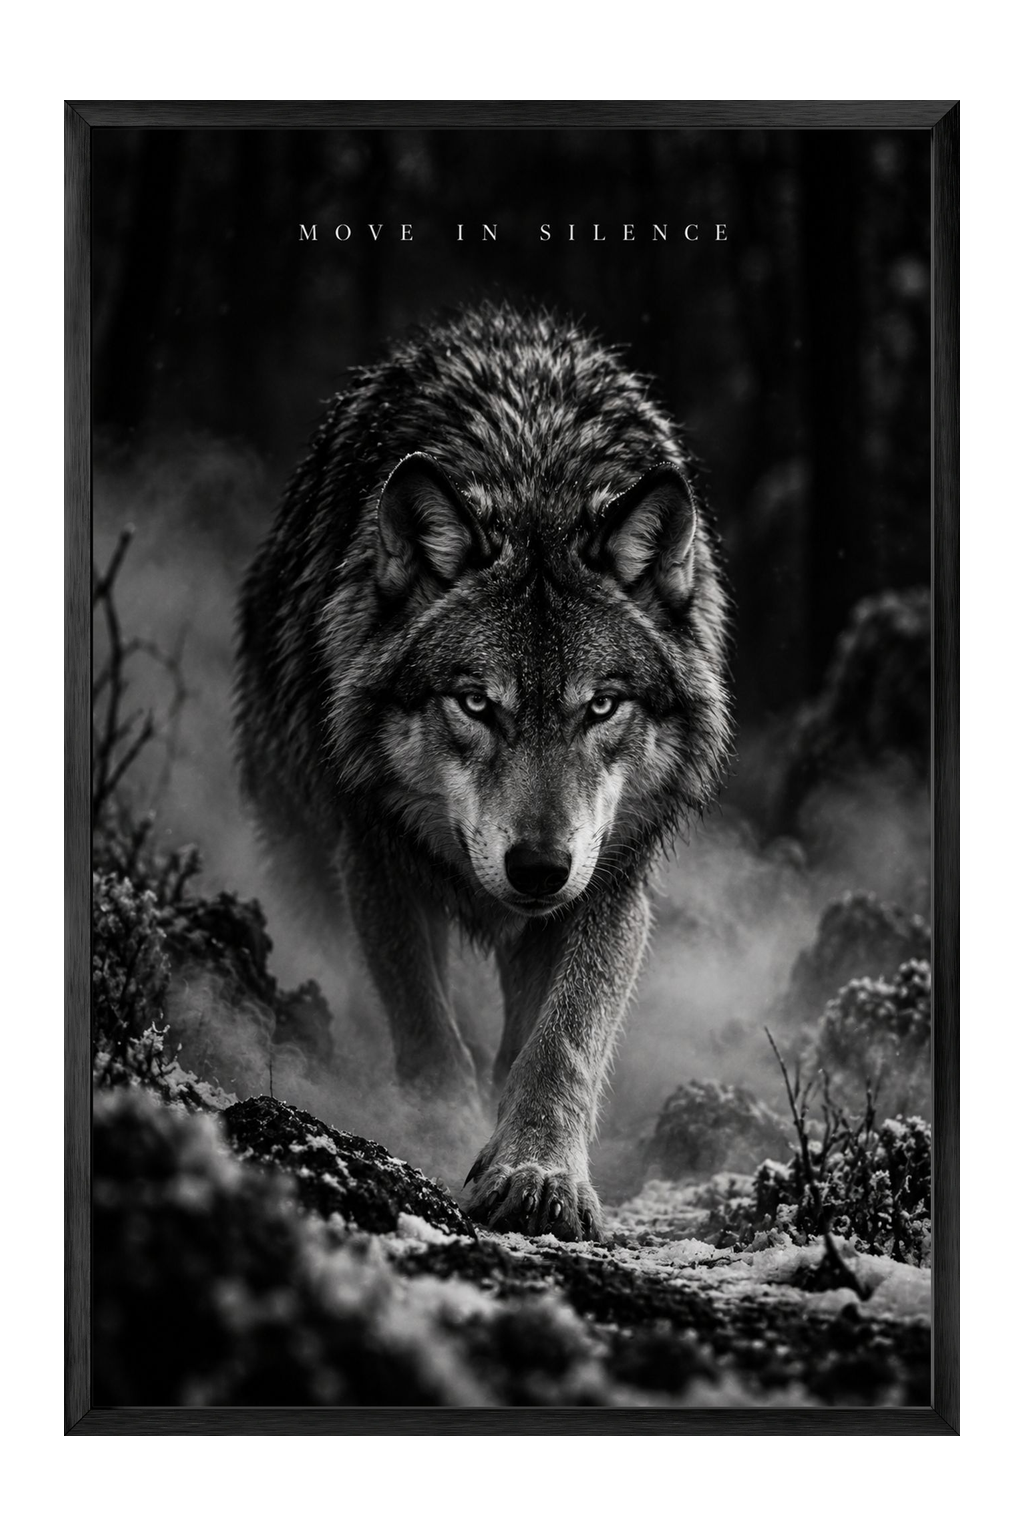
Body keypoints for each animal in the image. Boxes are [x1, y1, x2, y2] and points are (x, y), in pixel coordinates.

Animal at [235, 302, 731, 1241]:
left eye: (600, 707)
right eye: (475, 703)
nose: (538, 867)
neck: (532, 473)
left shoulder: (613, 880)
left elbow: (561, 1042)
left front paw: (537, 1171)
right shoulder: (374, 854)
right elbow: (426, 1030)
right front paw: (436, 1136)